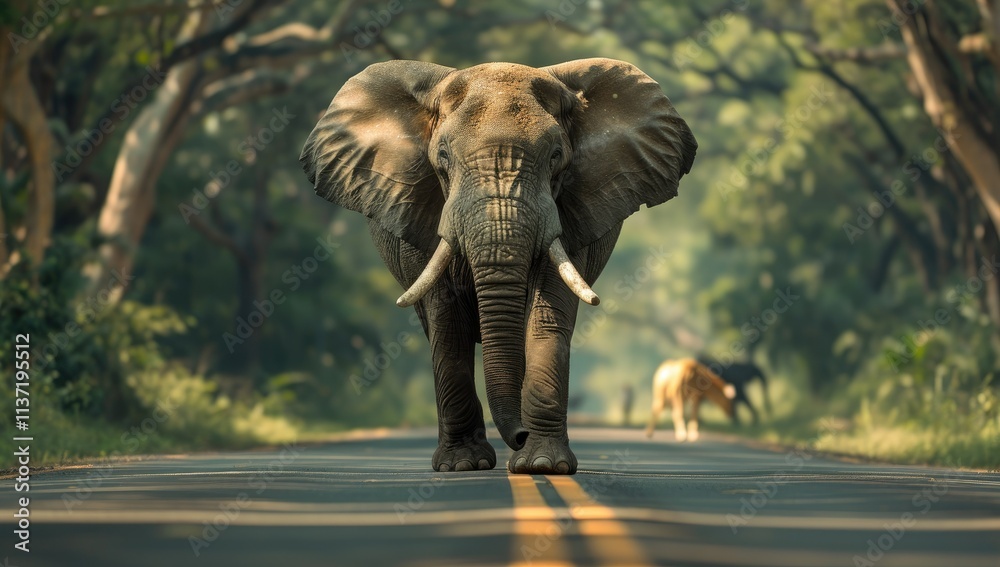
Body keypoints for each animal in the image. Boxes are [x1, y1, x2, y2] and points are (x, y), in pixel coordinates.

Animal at [300, 58, 697, 474]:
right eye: (443, 156)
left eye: (556, 155)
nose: (519, 435)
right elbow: (447, 322)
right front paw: (462, 465)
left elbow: (546, 312)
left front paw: (542, 464)